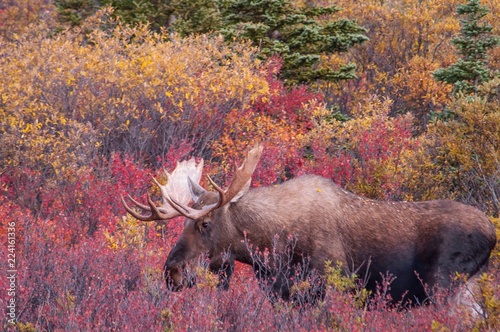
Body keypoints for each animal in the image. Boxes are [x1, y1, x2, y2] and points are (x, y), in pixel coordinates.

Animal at [122, 143, 496, 306]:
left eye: (204, 223)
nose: (172, 271)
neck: (270, 248)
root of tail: (492, 234)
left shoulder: (330, 282)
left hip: (444, 286)